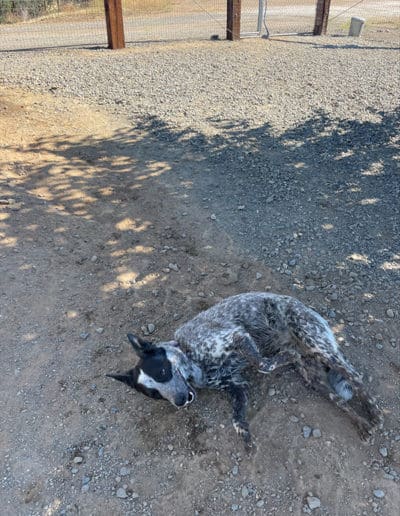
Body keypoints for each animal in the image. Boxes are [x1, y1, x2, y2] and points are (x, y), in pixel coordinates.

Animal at [108, 292, 382, 446]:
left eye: (163, 371)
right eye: (154, 394)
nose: (179, 401)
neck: (192, 358)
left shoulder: (237, 337)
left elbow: (263, 364)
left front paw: (283, 356)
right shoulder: (236, 387)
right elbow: (236, 419)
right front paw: (245, 435)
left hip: (318, 344)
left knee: (356, 378)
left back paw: (375, 413)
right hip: (314, 378)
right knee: (340, 399)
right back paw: (362, 424)